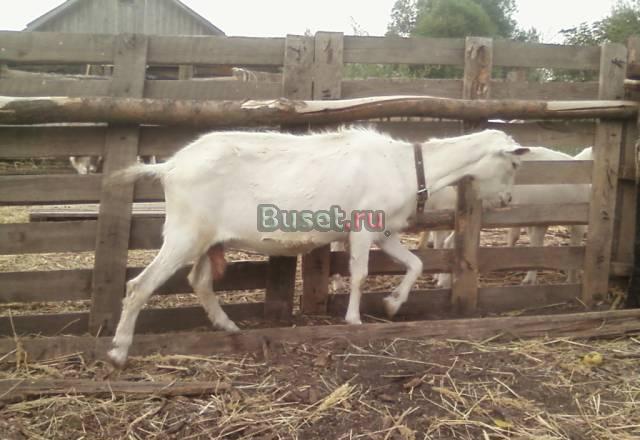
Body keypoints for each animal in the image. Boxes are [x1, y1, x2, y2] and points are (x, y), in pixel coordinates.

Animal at [105, 128, 529, 367]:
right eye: (512, 165)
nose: (509, 200)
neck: (407, 167)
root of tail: (170, 167)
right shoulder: (363, 227)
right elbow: (359, 274)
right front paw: (354, 320)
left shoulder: (384, 231)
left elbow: (416, 264)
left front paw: (393, 304)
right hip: (184, 232)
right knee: (139, 286)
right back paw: (119, 352)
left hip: (210, 237)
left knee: (200, 282)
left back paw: (228, 325)